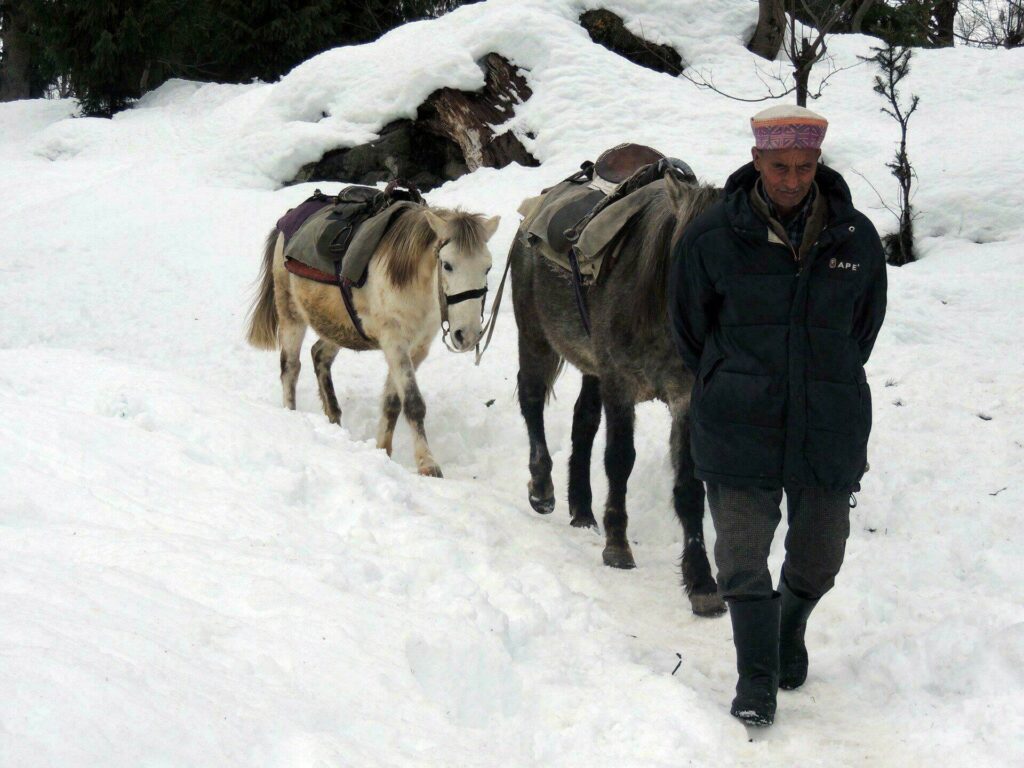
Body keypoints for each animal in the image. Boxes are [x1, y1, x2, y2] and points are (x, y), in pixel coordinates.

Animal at [249, 201, 501, 479]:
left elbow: (393, 402)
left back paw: (334, 417)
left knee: (319, 355)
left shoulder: (417, 348)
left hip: (338, 326)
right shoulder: (394, 341)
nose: (467, 335)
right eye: (447, 265)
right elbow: (413, 403)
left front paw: (383, 450)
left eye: (487, 267)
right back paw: (291, 414)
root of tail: (286, 222)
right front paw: (427, 463)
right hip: (291, 314)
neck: (412, 282)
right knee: (290, 369)